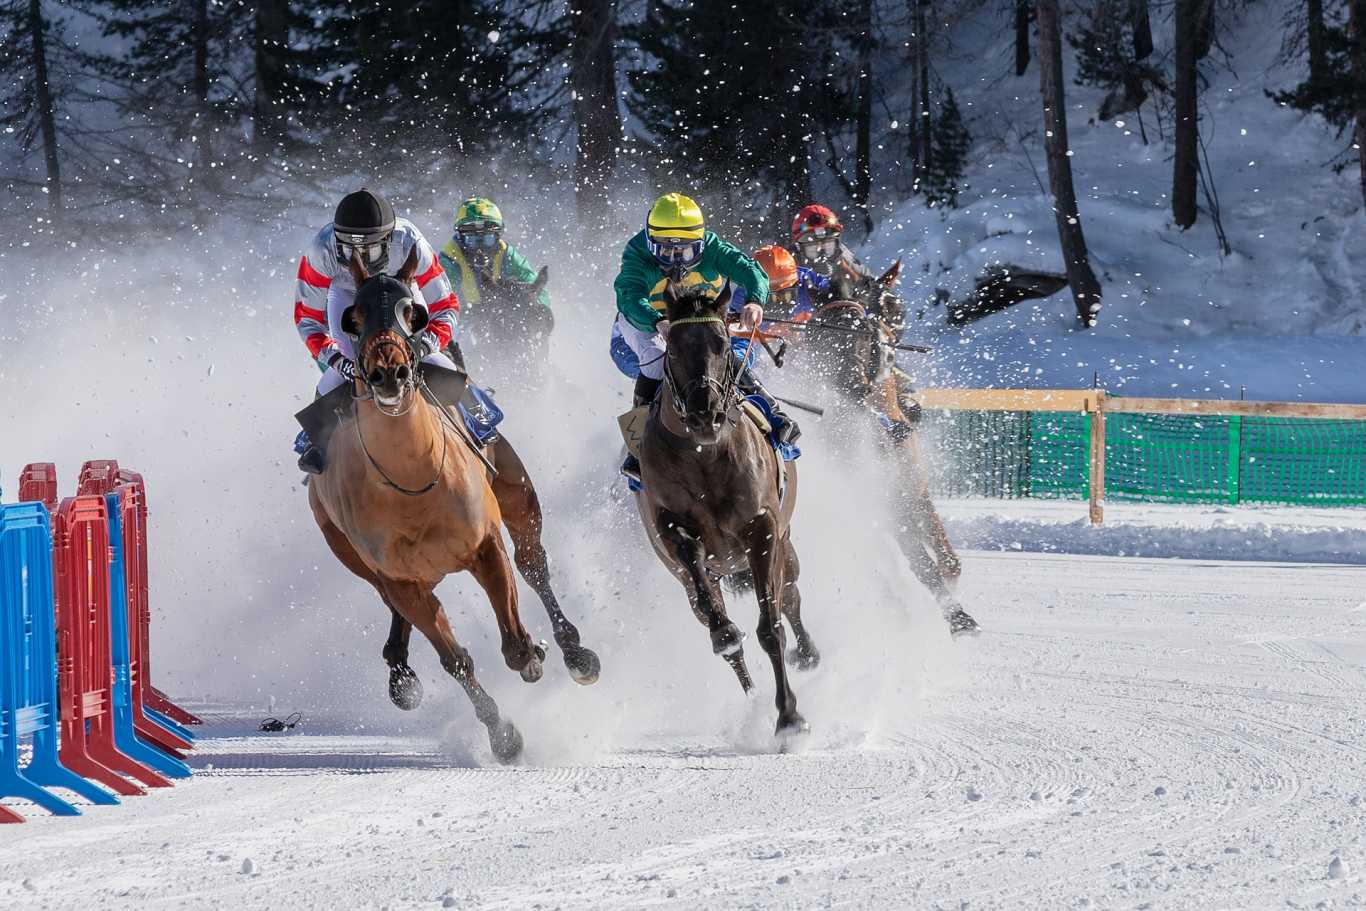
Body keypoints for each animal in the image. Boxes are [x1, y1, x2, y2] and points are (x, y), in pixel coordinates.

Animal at [310, 249, 598, 764]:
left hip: (515, 489)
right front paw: (503, 736)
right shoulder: (401, 579)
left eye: (412, 312)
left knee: (534, 564)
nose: (388, 372)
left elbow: (515, 645)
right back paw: (400, 673)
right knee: (392, 604)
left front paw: (535, 655)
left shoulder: (485, 544)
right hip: (354, 555)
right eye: (353, 318)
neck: (411, 481)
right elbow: (455, 660)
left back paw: (575, 652)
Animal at [633, 281, 814, 737]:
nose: (705, 414)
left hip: (786, 548)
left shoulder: (762, 530)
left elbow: (771, 627)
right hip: (692, 579)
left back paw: (808, 653)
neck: (704, 457)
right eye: (674, 347)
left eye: (722, 342)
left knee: (791, 595)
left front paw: (790, 717)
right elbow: (724, 632)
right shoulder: (675, 534)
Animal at [803, 259, 978, 639]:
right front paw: (954, 617)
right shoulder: (884, 507)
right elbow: (923, 565)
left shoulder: (913, 491)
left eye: (864, 329)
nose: (854, 384)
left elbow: (947, 561)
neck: (877, 425)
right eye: (820, 335)